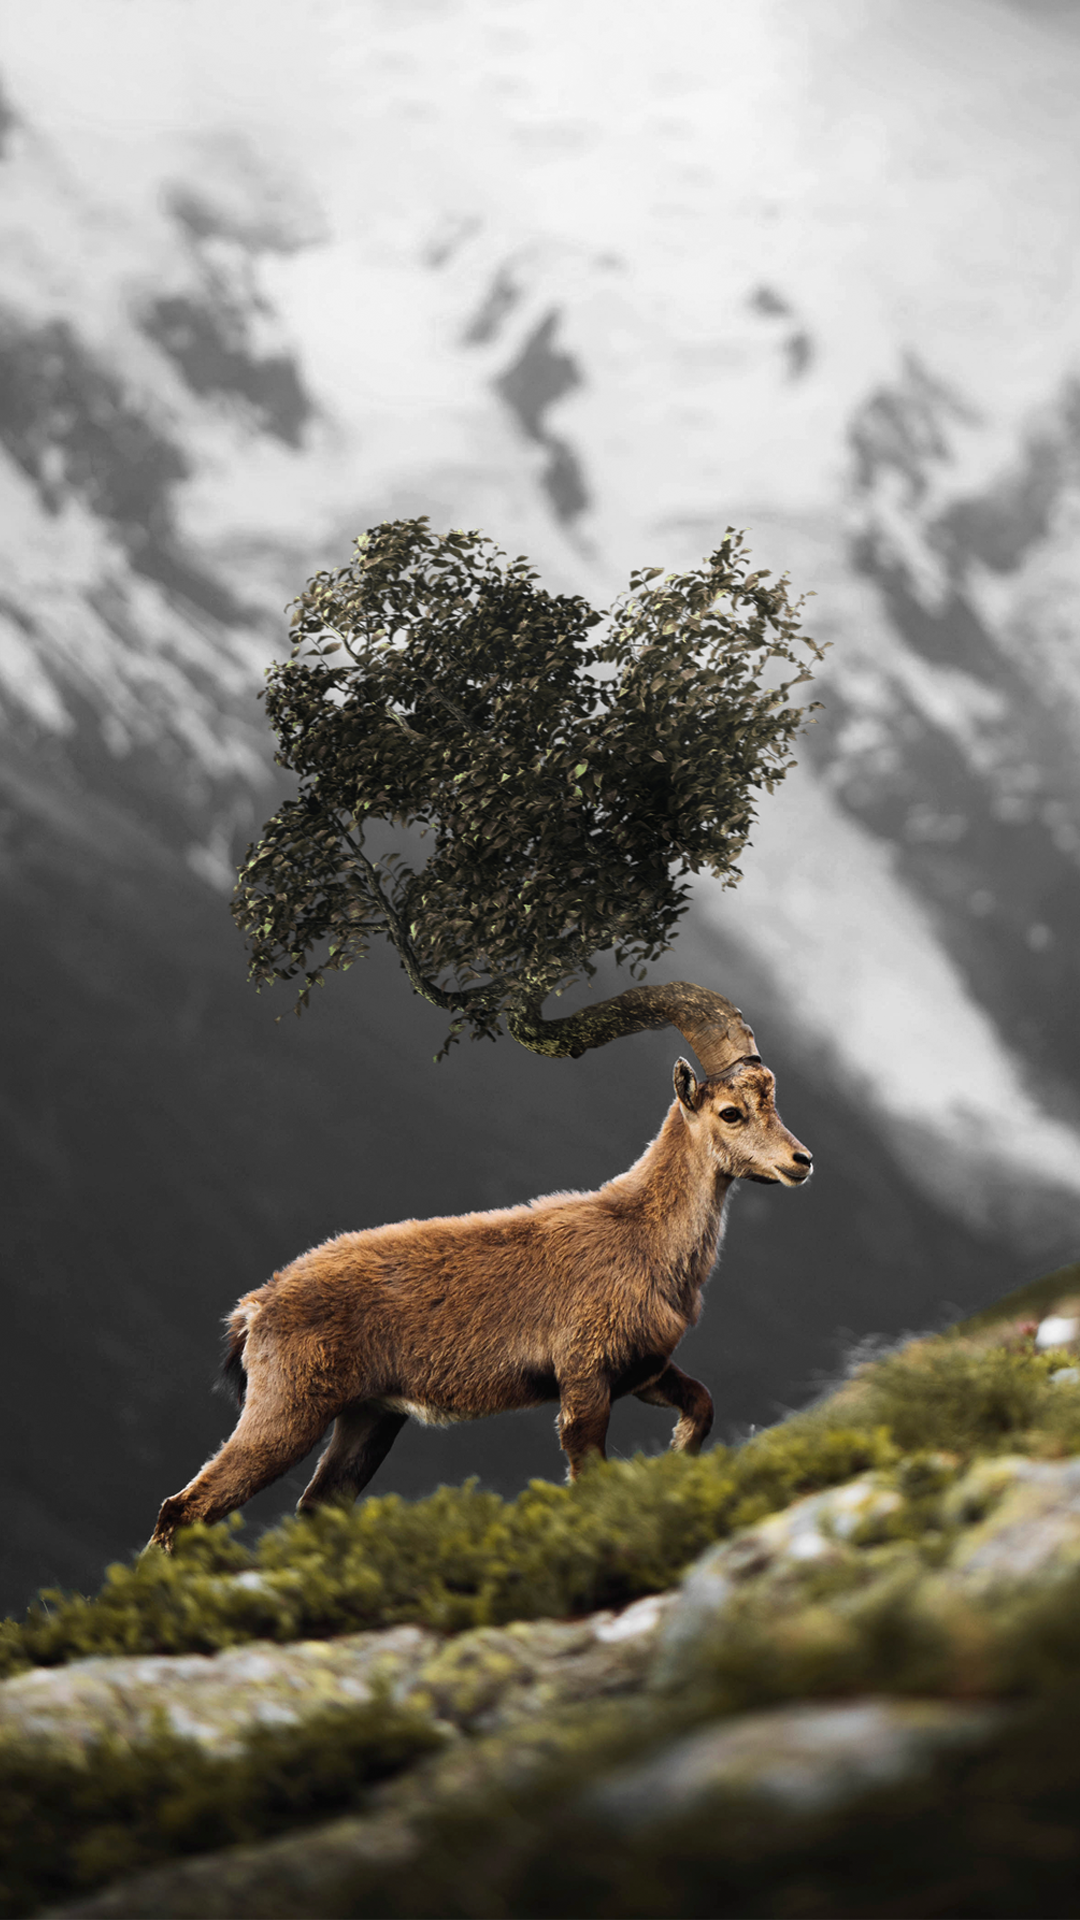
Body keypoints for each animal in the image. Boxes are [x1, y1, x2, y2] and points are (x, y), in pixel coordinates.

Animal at [150, 1053, 812, 1550]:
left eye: (773, 1102)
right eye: (731, 1112)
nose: (801, 1160)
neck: (643, 1234)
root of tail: (256, 1308)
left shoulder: (644, 1369)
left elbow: (701, 1403)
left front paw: (675, 1465)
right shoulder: (586, 1374)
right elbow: (587, 1466)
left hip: (369, 1414)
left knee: (318, 1504)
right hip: (289, 1407)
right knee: (186, 1508)